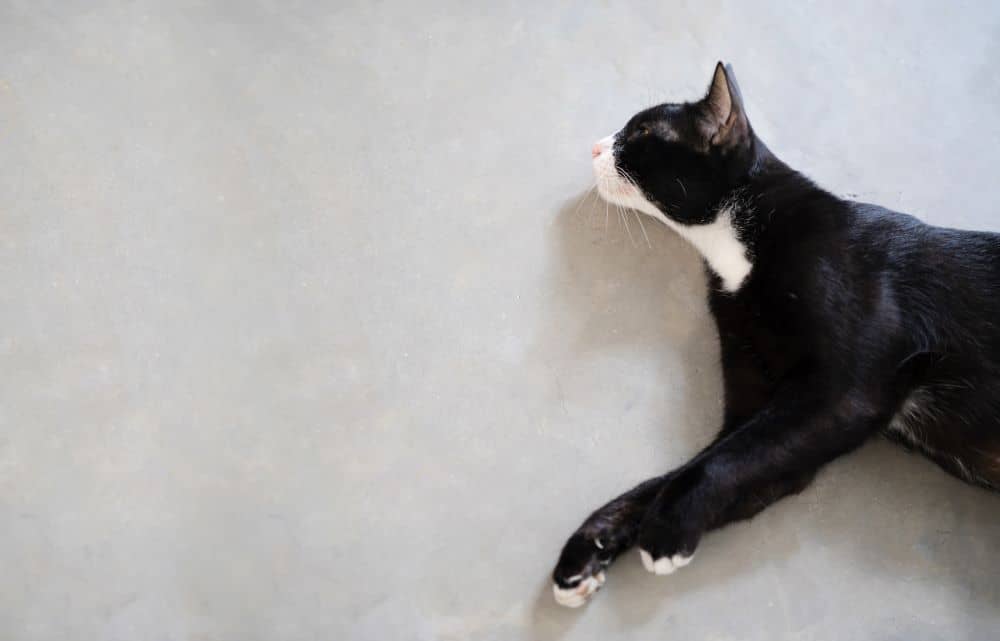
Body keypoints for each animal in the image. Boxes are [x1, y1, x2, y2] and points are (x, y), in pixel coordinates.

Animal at [556, 62, 1000, 608]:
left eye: (640, 132)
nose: (595, 148)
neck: (739, 248)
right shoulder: (760, 415)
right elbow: (683, 474)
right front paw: (587, 550)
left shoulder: (841, 396)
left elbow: (720, 462)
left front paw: (668, 530)